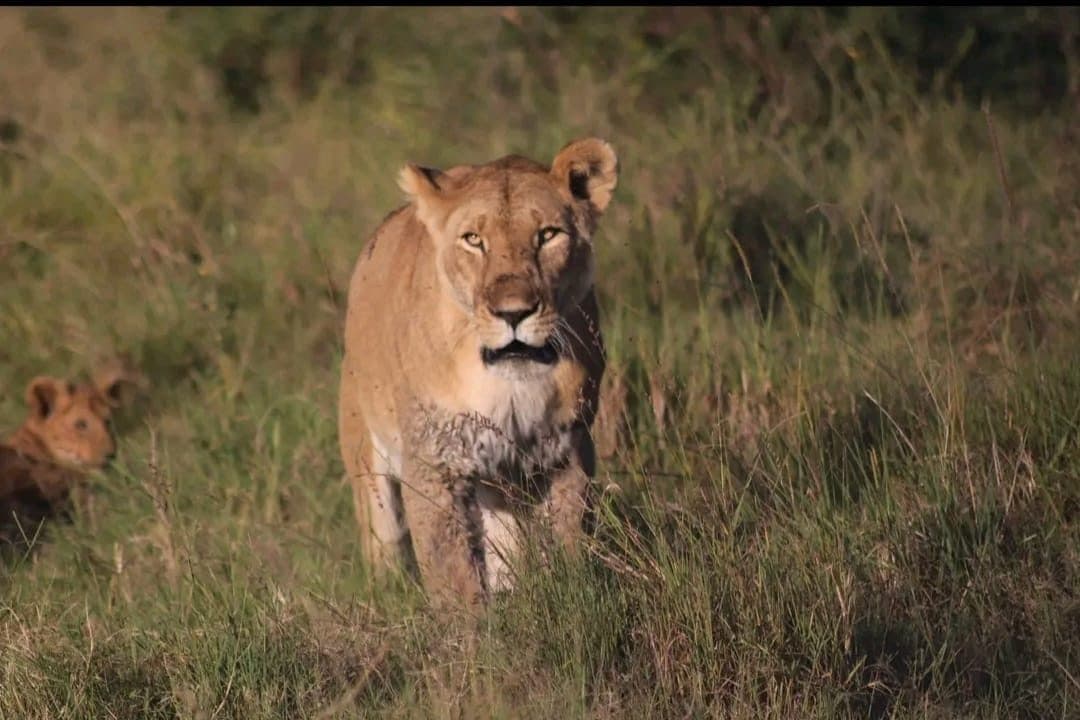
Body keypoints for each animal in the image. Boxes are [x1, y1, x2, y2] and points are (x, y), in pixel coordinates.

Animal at [338, 138, 618, 605]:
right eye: (473, 240)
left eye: (548, 235)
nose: (514, 313)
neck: (508, 388)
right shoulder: (435, 462)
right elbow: (455, 580)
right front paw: (472, 628)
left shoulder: (569, 450)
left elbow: (569, 547)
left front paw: (575, 602)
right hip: (368, 458)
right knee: (386, 547)